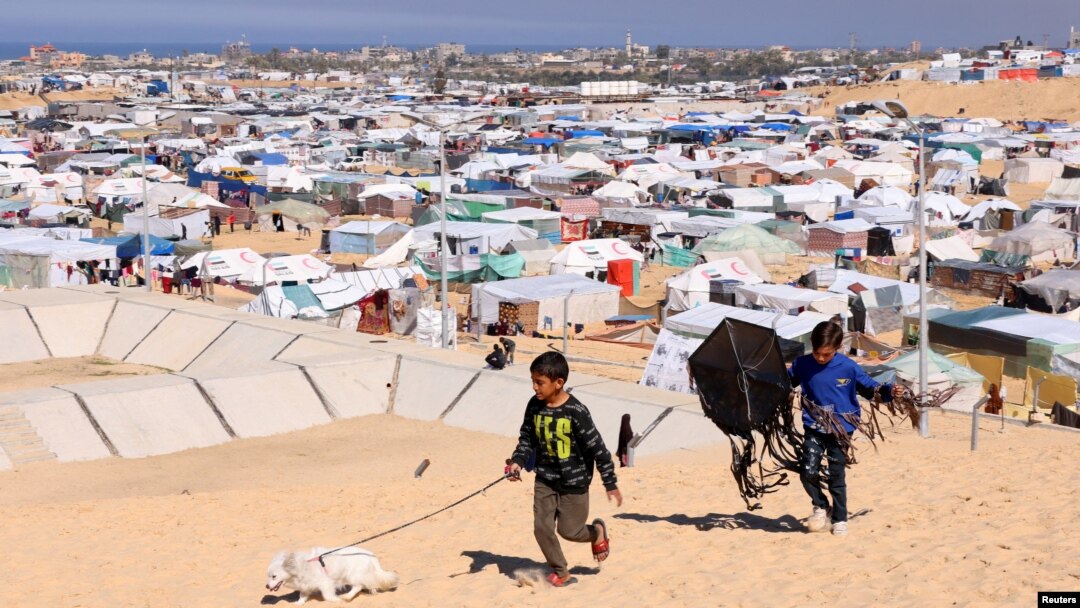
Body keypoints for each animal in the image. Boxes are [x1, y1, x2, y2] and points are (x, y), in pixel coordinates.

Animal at [265, 546, 401, 604]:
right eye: (268, 575)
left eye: (274, 576)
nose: (266, 586)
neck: (301, 567)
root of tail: (371, 556)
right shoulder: (305, 586)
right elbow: (302, 596)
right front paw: (298, 603)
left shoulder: (325, 584)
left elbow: (327, 596)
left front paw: (336, 600)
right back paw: (372, 590)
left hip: (352, 575)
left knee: (358, 586)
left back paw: (346, 597)